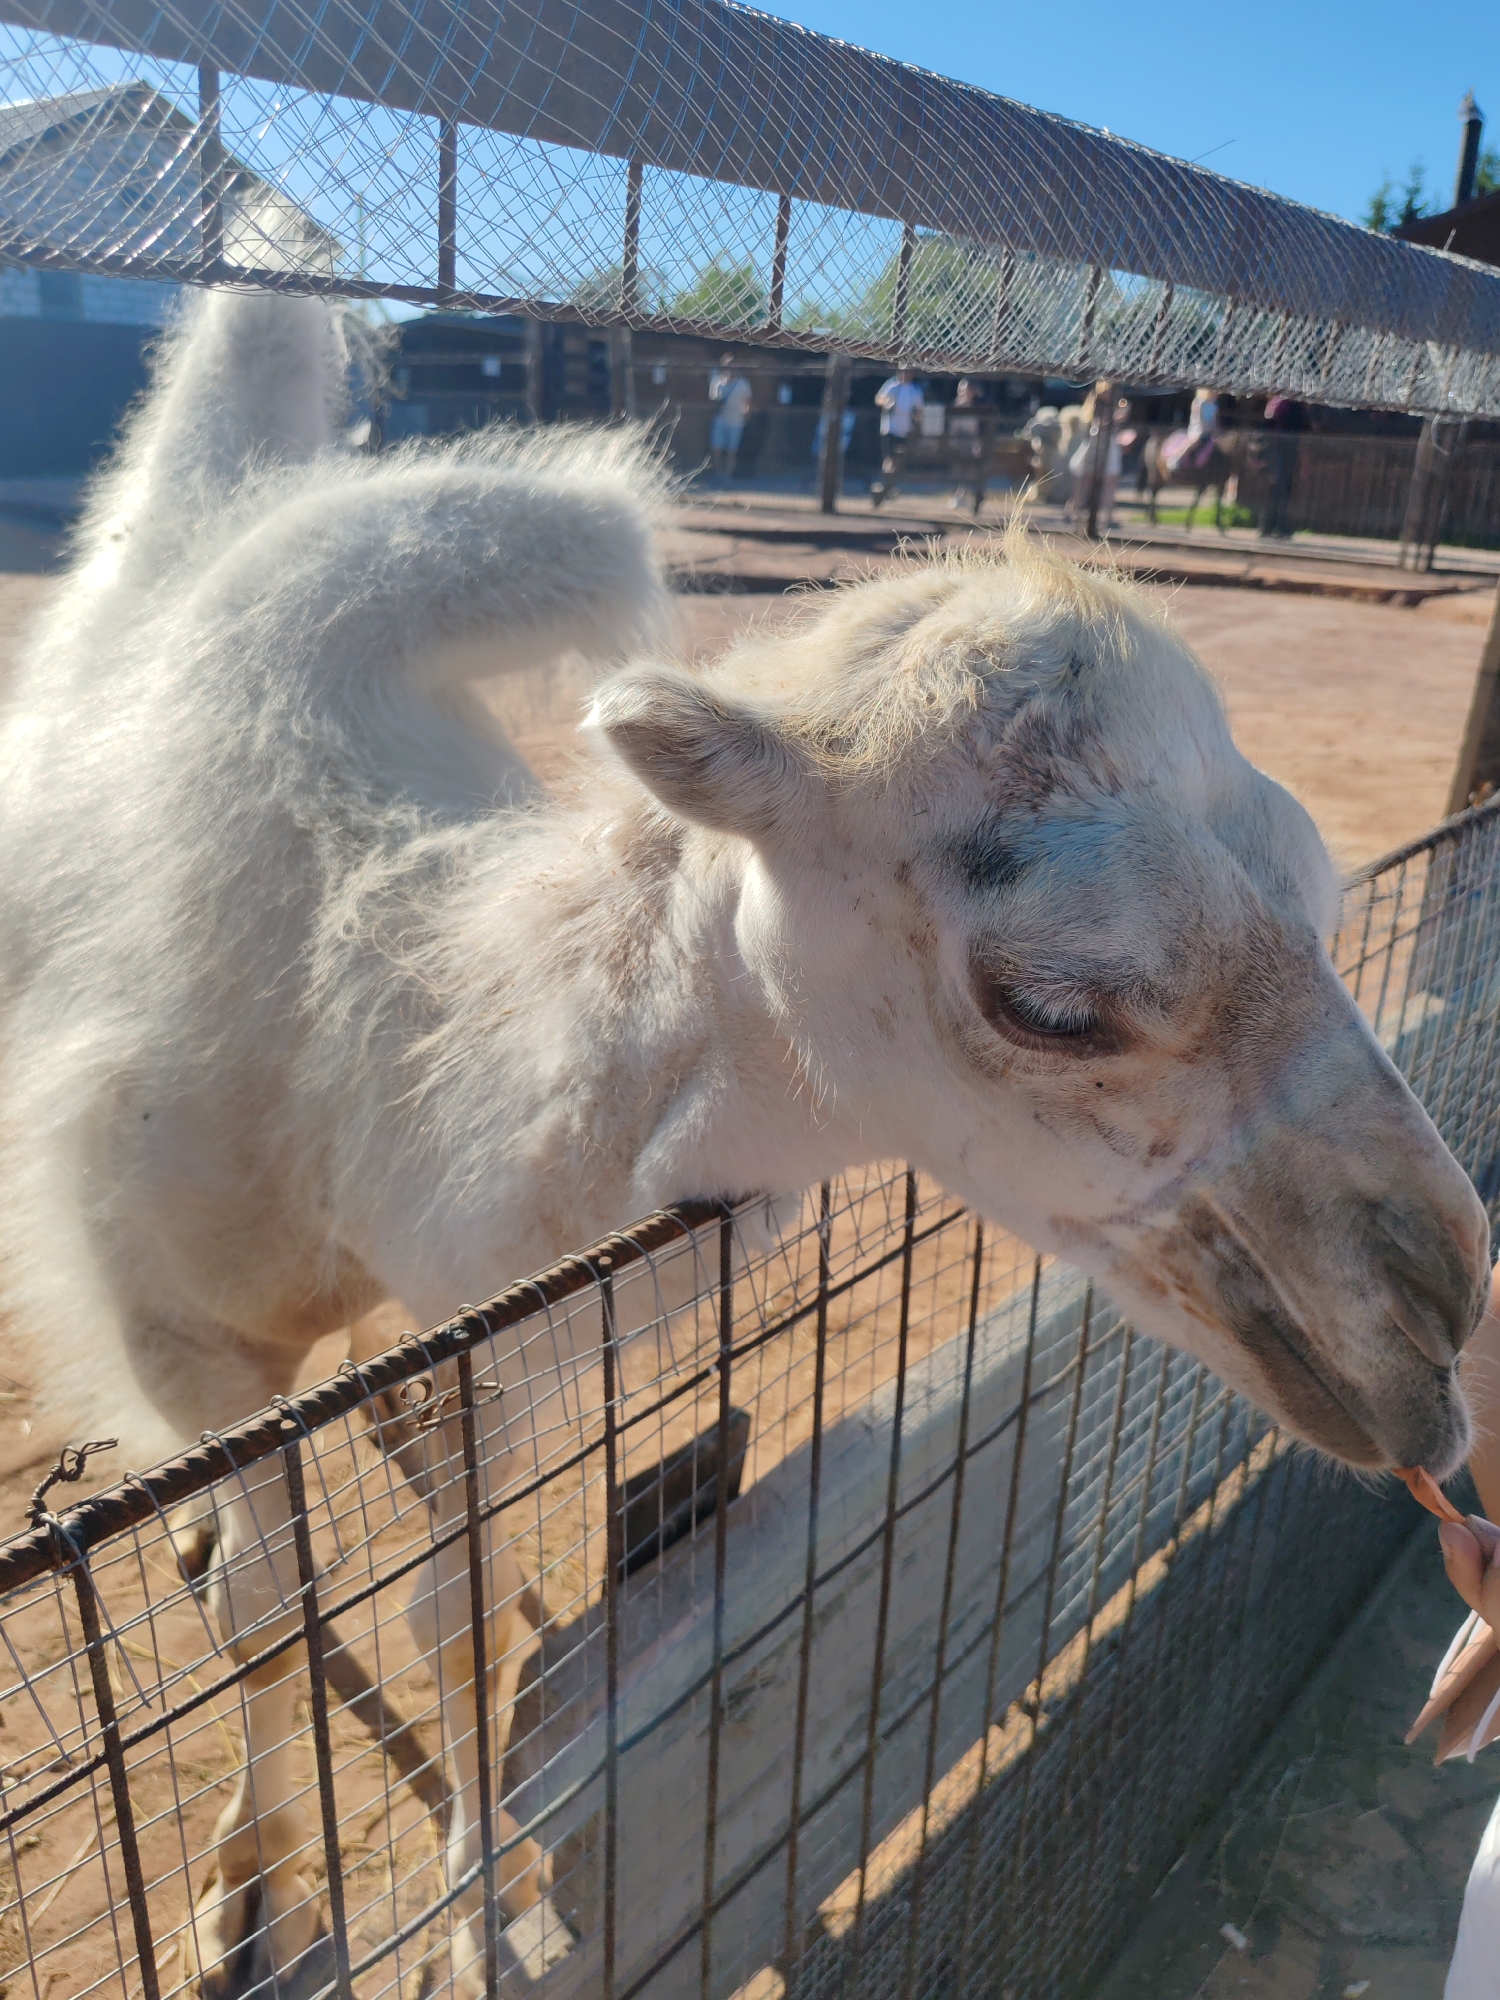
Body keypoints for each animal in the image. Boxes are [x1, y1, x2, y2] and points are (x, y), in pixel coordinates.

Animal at [0, 289, 1488, 1996]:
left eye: (1321, 891)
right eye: (1051, 1001)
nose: (1443, 1300)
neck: (349, 1035)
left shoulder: (497, 1341)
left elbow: (454, 1608)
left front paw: (475, 1906)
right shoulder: (172, 1317)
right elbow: (265, 1606)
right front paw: (256, 1901)